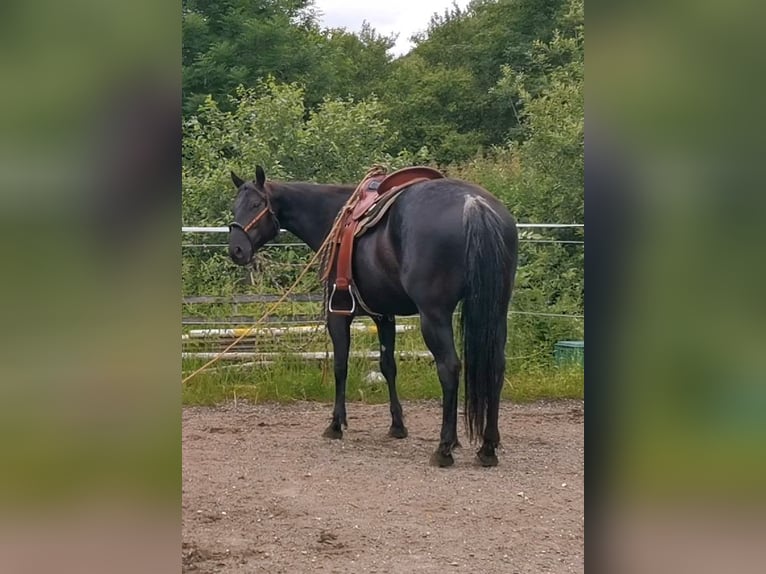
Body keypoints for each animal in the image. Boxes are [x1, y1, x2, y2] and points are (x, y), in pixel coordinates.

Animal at [227, 165, 518, 467]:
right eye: (235, 206)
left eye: (256, 204)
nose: (236, 250)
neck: (332, 216)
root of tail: (475, 204)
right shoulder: (384, 315)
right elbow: (388, 366)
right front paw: (397, 425)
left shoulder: (338, 315)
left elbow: (340, 366)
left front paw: (335, 424)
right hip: (496, 311)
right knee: (496, 366)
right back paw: (487, 447)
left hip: (434, 316)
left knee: (449, 368)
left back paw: (444, 448)